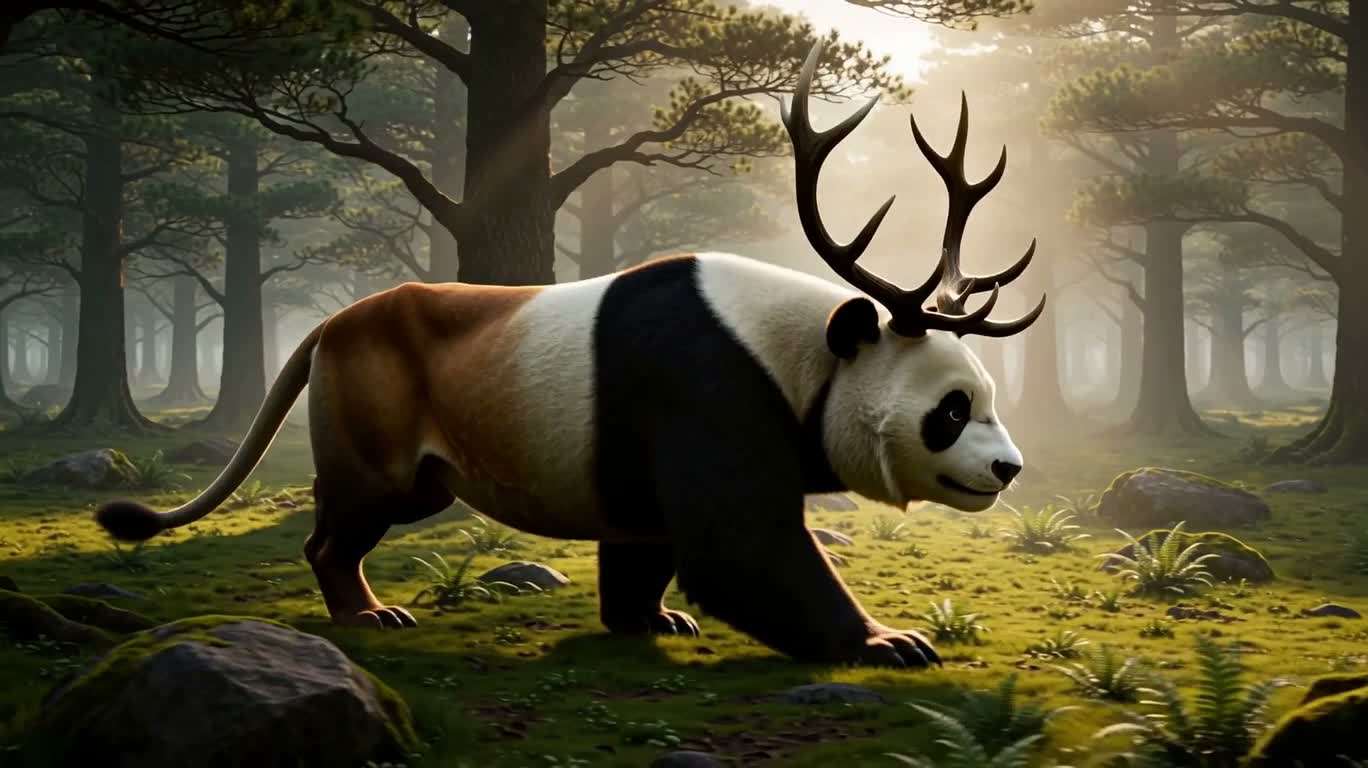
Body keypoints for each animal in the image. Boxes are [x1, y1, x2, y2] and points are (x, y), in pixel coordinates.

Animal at [97, 43, 1044, 669]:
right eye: (950, 410)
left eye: (989, 400)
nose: (1009, 469)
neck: (807, 349)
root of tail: (328, 326)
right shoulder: (708, 387)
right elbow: (742, 546)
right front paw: (890, 642)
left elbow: (649, 537)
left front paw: (647, 621)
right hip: (374, 398)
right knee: (354, 512)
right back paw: (366, 615)